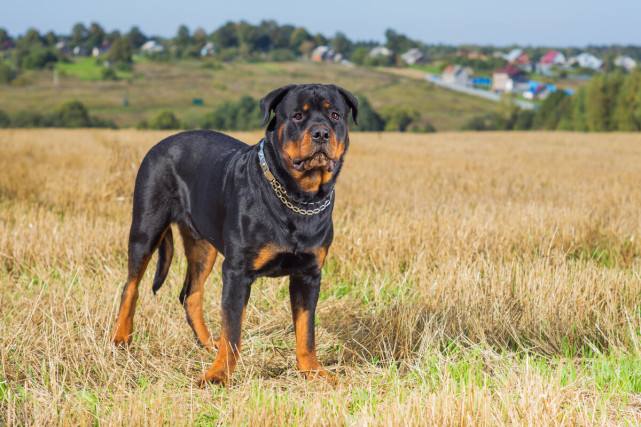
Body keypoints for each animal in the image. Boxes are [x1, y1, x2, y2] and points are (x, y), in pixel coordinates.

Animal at [112, 83, 358, 384]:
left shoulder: (308, 274)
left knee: (190, 294)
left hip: (203, 246)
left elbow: (305, 330)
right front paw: (218, 375)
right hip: (146, 227)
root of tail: (162, 143)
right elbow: (232, 330)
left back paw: (207, 343)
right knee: (131, 286)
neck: (298, 197)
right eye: (298, 115)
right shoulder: (237, 271)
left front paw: (312, 371)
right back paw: (120, 339)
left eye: (335, 114)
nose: (321, 132)